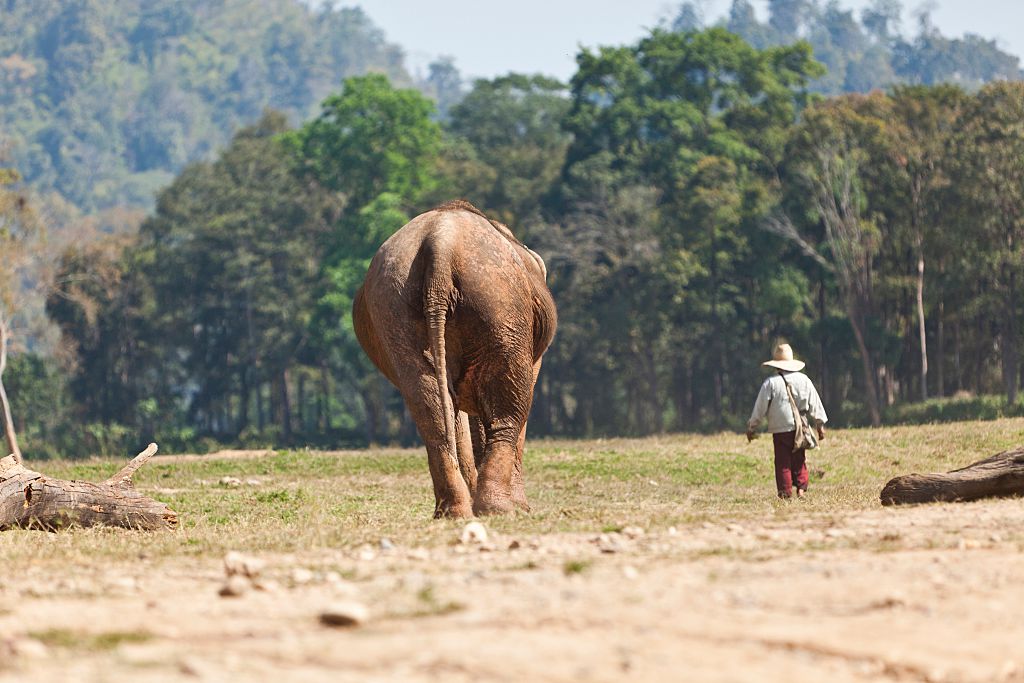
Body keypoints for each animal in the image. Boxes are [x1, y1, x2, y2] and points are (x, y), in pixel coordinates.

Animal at [354, 201, 561, 518]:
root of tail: (440, 242)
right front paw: (521, 508)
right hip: (498, 299)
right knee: (510, 401)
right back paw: (498, 509)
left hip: (393, 304)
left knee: (428, 400)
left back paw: (454, 512)